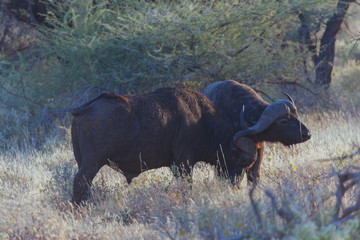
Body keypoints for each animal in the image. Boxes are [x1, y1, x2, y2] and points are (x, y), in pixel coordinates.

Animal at [71, 87, 258, 203]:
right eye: (243, 160)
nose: (235, 184)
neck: (202, 120)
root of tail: (84, 109)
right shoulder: (184, 163)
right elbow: (187, 185)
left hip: (83, 162)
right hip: (92, 163)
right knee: (80, 182)